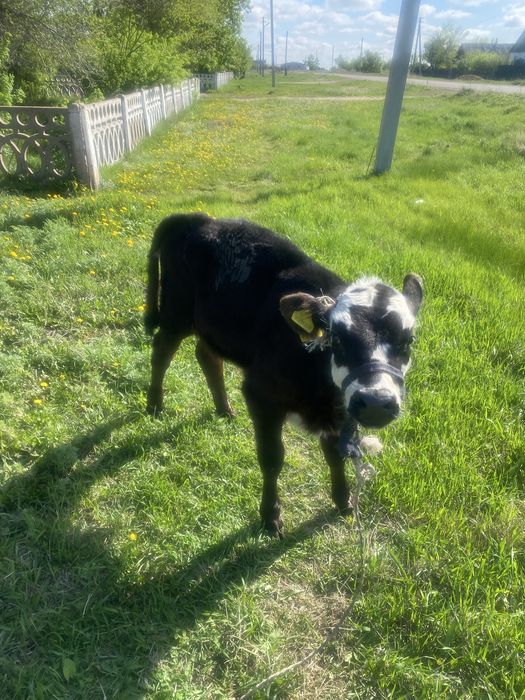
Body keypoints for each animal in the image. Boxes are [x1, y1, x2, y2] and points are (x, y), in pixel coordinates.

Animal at [144, 213, 423, 537]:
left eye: (408, 341)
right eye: (337, 338)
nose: (376, 402)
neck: (321, 394)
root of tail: (198, 219)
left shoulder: (337, 414)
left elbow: (334, 455)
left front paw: (343, 501)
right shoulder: (261, 395)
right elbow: (272, 458)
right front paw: (270, 517)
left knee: (207, 356)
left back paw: (224, 409)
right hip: (176, 313)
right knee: (162, 350)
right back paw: (155, 405)